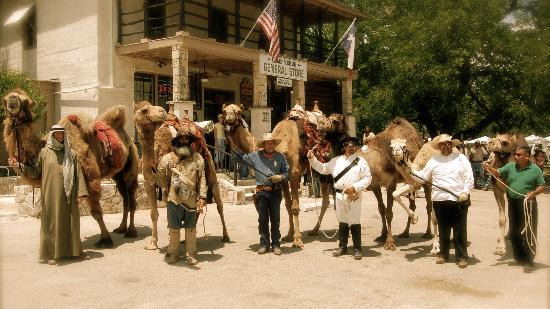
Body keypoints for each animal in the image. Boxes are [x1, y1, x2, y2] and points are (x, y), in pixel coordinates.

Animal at [3, 88, 140, 247]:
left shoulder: (89, 178)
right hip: (117, 174)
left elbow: (96, 212)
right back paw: (121, 228)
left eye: (26, 101)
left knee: (132, 197)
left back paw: (131, 231)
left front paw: (105, 239)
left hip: (131, 165)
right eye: (6, 99)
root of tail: (129, 138)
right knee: (125, 198)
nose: (13, 100)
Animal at [135, 101, 232, 248]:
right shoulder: (148, 182)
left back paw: (225, 236)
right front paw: (153, 243)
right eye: (144, 109)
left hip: (209, 168)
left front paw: (170, 240)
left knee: (219, 203)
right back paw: (187, 237)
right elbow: (153, 213)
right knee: (196, 205)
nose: (162, 111)